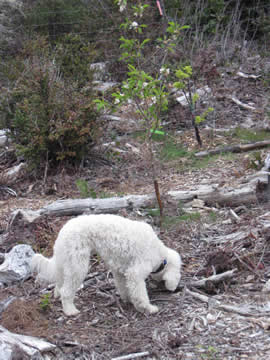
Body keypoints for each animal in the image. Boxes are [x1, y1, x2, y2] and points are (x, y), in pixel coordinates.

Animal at [32, 214, 181, 316]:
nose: (175, 290)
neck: (159, 253)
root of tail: (63, 231)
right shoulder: (135, 273)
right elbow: (140, 294)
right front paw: (148, 308)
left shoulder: (120, 271)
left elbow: (124, 287)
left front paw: (128, 299)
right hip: (78, 264)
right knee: (66, 291)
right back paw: (70, 311)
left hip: (66, 261)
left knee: (59, 282)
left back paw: (57, 295)